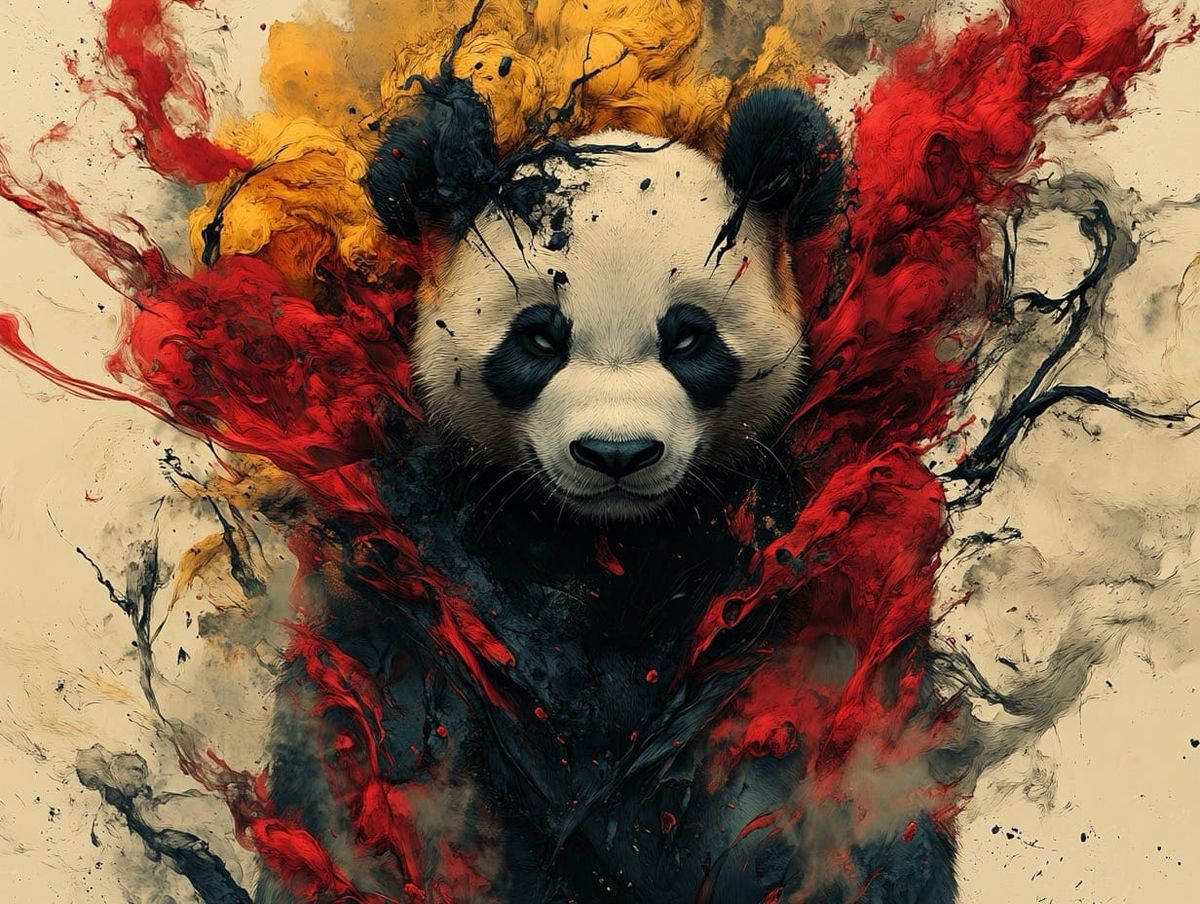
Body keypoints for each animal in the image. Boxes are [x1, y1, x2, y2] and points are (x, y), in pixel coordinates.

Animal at [255, 86, 957, 904]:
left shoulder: (791, 564)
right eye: (539, 339)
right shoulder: (415, 554)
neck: (610, 543)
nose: (616, 453)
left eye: (687, 339)